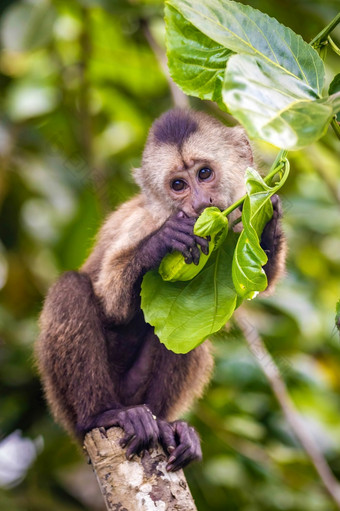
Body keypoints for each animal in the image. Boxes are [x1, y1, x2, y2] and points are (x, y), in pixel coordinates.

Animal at [35, 110, 284, 474]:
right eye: (178, 185)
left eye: (204, 173)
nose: (200, 203)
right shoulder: (141, 222)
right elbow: (111, 305)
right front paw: (160, 244)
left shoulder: (234, 226)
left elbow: (255, 279)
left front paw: (266, 215)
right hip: (67, 404)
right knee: (71, 287)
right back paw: (102, 415)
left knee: (189, 332)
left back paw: (166, 425)